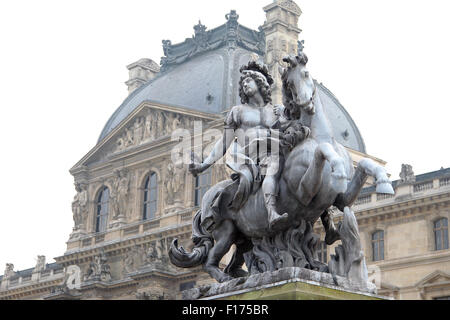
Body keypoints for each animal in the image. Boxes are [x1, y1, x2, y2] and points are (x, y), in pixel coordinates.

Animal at [169, 54, 394, 282]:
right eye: (289, 84)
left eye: (306, 74)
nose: (304, 103)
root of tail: (207, 197)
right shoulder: (304, 192)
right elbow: (321, 152)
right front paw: (337, 166)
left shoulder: (341, 198)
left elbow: (364, 165)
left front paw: (384, 183)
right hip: (225, 232)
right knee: (210, 262)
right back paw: (226, 279)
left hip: (245, 236)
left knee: (235, 260)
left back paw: (241, 275)